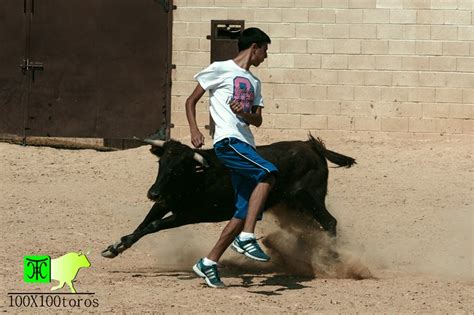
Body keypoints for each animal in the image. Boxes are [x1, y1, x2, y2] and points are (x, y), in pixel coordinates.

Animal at [103, 135, 356, 260]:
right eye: (161, 163)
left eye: (178, 169)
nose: (152, 192)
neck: (198, 175)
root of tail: (311, 146)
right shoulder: (165, 202)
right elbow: (143, 224)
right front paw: (116, 247)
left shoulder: (188, 214)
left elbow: (153, 225)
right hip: (296, 205)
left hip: (309, 198)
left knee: (329, 222)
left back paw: (331, 256)